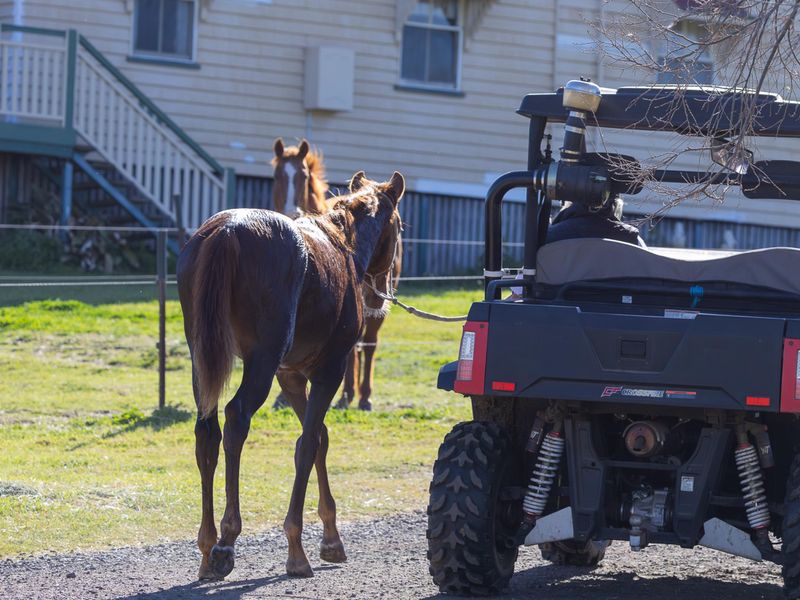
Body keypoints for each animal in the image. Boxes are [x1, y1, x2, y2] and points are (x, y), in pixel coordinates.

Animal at [177, 170, 405, 580]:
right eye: (398, 228)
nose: (381, 296)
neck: (343, 249)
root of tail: (228, 230)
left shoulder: (292, 378)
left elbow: (320, 439)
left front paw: (331, 537)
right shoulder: (329, 372)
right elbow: (308, 445)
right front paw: (297, 549)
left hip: (203, 360)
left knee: (208, 433)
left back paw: (206, 546)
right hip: (261, 363)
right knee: (236, 420)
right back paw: (226, 540)